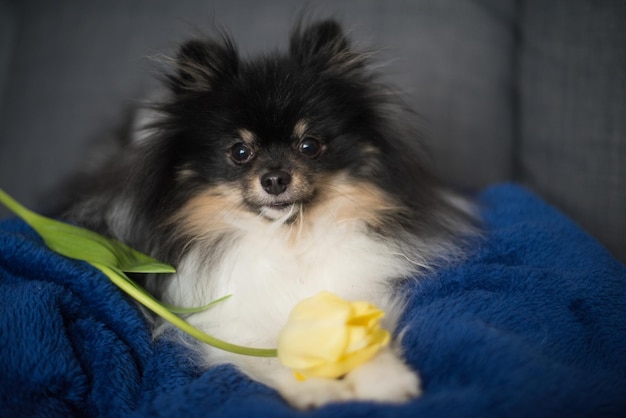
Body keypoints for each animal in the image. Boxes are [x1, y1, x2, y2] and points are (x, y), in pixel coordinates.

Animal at [66, 18, 476, 408]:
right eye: (240, 152)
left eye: (310, 145)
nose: (275, 178)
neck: (288, 236)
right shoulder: (233, 323)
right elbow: (277, 354)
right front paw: (318, 390)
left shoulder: (354, 291)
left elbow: (362, 340)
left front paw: (386, 381)